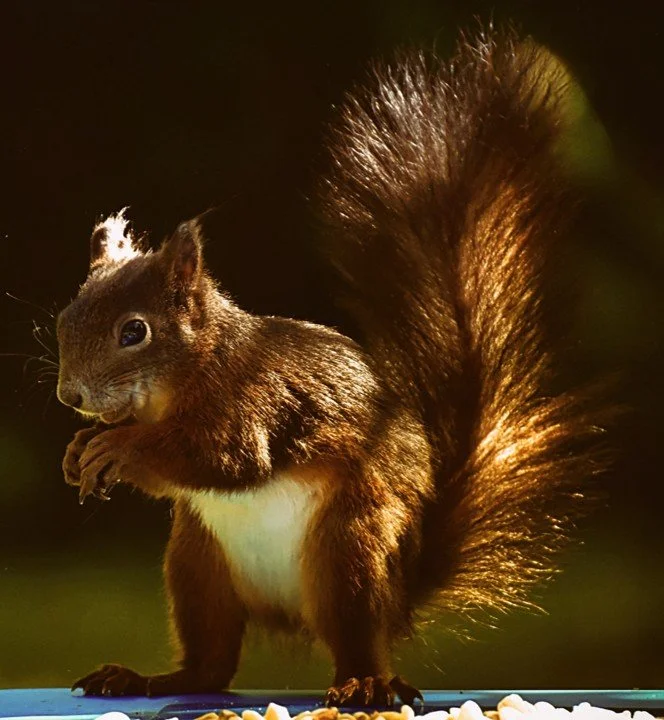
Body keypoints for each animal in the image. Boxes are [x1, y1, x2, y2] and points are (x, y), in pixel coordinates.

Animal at [56, 29, 603, 706]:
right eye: (65, 315)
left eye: (134, 332)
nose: (70, 395)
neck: (186, 377)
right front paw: (80, 448)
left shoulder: (256, 400)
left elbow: (222, 458)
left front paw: (119, 448)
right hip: (195, 562)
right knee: (211, 666)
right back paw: (145, 678)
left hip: (351, 549)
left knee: (352, 640)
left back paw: (365, 684)